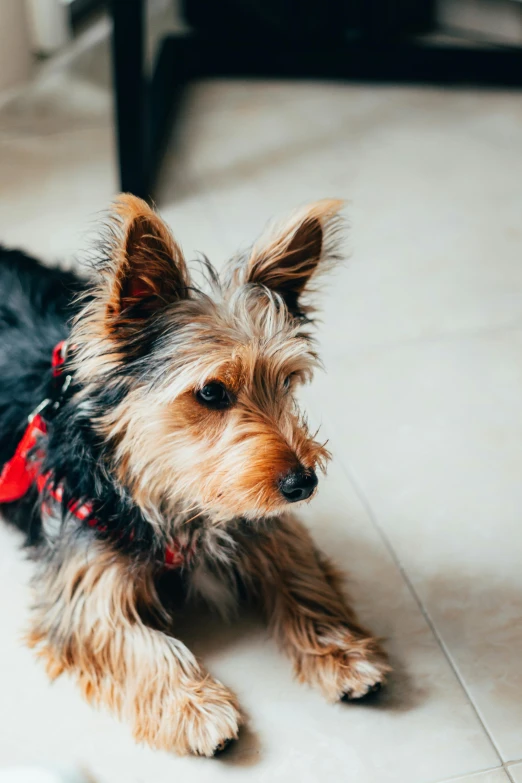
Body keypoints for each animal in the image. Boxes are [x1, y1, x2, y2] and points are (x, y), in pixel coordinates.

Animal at [0, 196, 388, 760]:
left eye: (287, 381)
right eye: (210, 392)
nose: (302, 484)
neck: (167, 490)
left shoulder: (262, 520)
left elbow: (299, 573)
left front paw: (341, 653)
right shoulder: (84, 587)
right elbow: (136, 643)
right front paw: (197, 710)